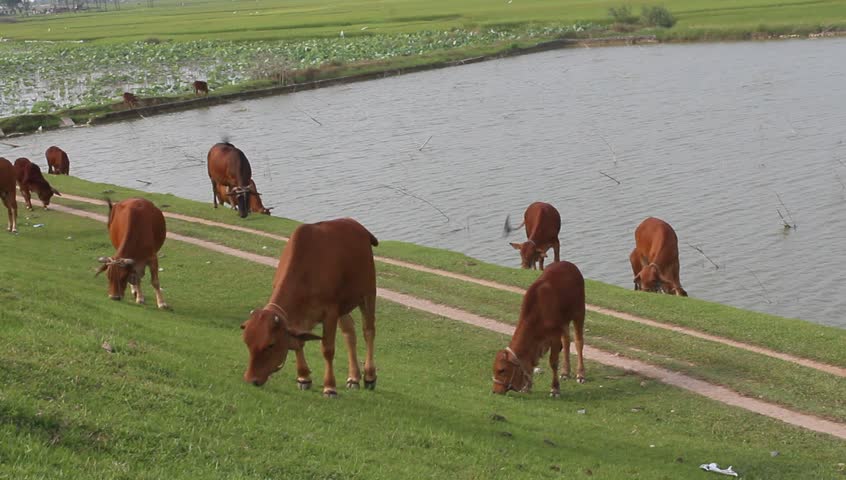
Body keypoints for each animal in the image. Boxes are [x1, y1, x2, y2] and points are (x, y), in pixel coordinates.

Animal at [241, 218, 378, 397]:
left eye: (270, 345)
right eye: (247, 342)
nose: (251, 379)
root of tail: (357, 225)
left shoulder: (330, 312)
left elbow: (328, 349)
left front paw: (330, 387)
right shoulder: (300, 319)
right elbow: (299, 343)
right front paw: (303, 377)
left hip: (368, 293)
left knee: (368, 332)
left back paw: (369, 376)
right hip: (344, 305)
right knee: (349, 333)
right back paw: (354, 378)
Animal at [492, 261, 586, 397]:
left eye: (502, 370)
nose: (495, 391)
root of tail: (568, 264)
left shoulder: (554, 337)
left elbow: (553, 362)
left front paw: (555, 388)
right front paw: (527, 387)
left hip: (579, 313)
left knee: (579, 342)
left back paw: (581, 374)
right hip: (564, 322)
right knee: (567, 341)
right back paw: (565, 372)